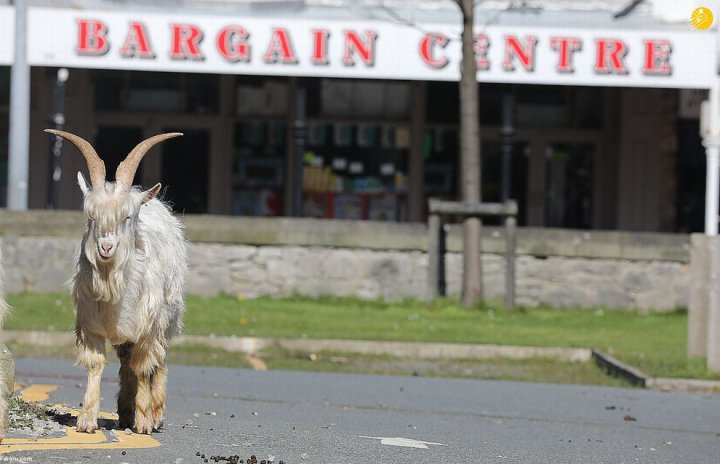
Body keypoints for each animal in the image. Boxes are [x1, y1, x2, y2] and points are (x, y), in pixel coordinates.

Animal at [45, 128, 188, 436]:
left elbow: (145, 366)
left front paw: (144, 422)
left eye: (127, 216)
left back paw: (155, 414)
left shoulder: (147, 323)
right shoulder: (90, 323)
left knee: (157, 362)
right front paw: (87, 420)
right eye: (91, 215)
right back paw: (124, 412)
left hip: (166, 318)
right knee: (126, 361)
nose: (106, 247)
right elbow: (96, 365)